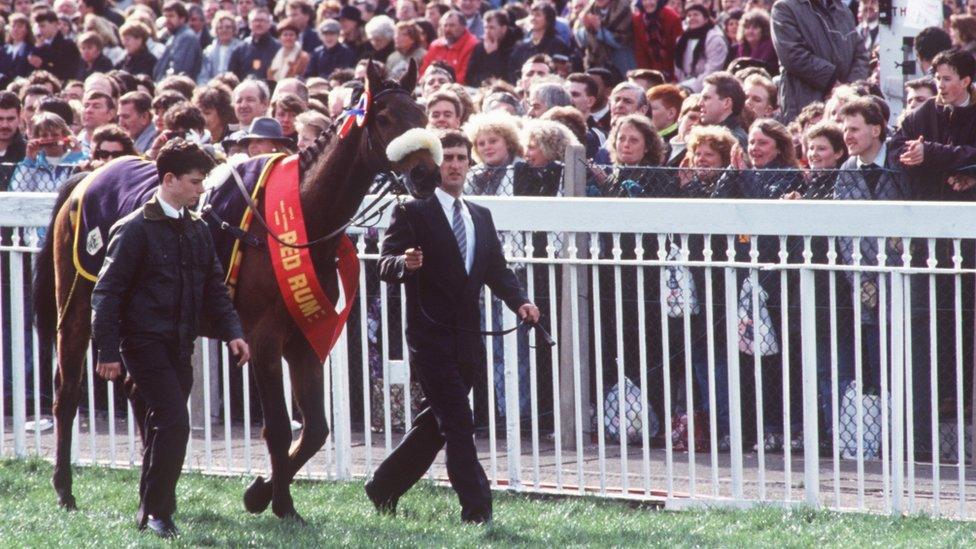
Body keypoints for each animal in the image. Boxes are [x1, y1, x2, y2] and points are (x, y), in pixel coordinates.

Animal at [33, 62, 438, 520]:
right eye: (385, 118)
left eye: (422, 114)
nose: (427, 174)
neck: (297, 221)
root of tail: (88, 176)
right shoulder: (264, 338)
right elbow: (278, 428)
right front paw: (279, 502)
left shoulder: (304, 334)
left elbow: (315, 429)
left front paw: (262, 491)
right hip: (81, 305)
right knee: (67, 392)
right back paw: (65, 489)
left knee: (140, 393)